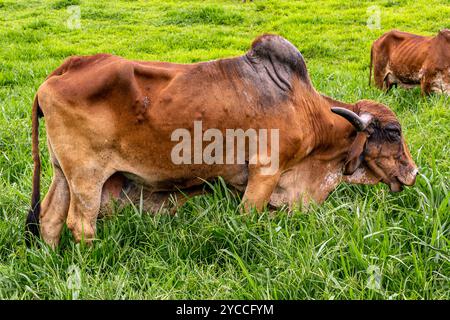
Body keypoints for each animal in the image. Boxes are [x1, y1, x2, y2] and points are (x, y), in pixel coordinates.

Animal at [24, 33, 418, 246]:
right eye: (394, 132)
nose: (413, 173)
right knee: (80, 225)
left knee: (50, 218)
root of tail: (62, 71)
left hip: (63, 172)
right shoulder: (265, 172)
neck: (306, 108)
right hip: (87, 177)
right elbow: (248, 218)